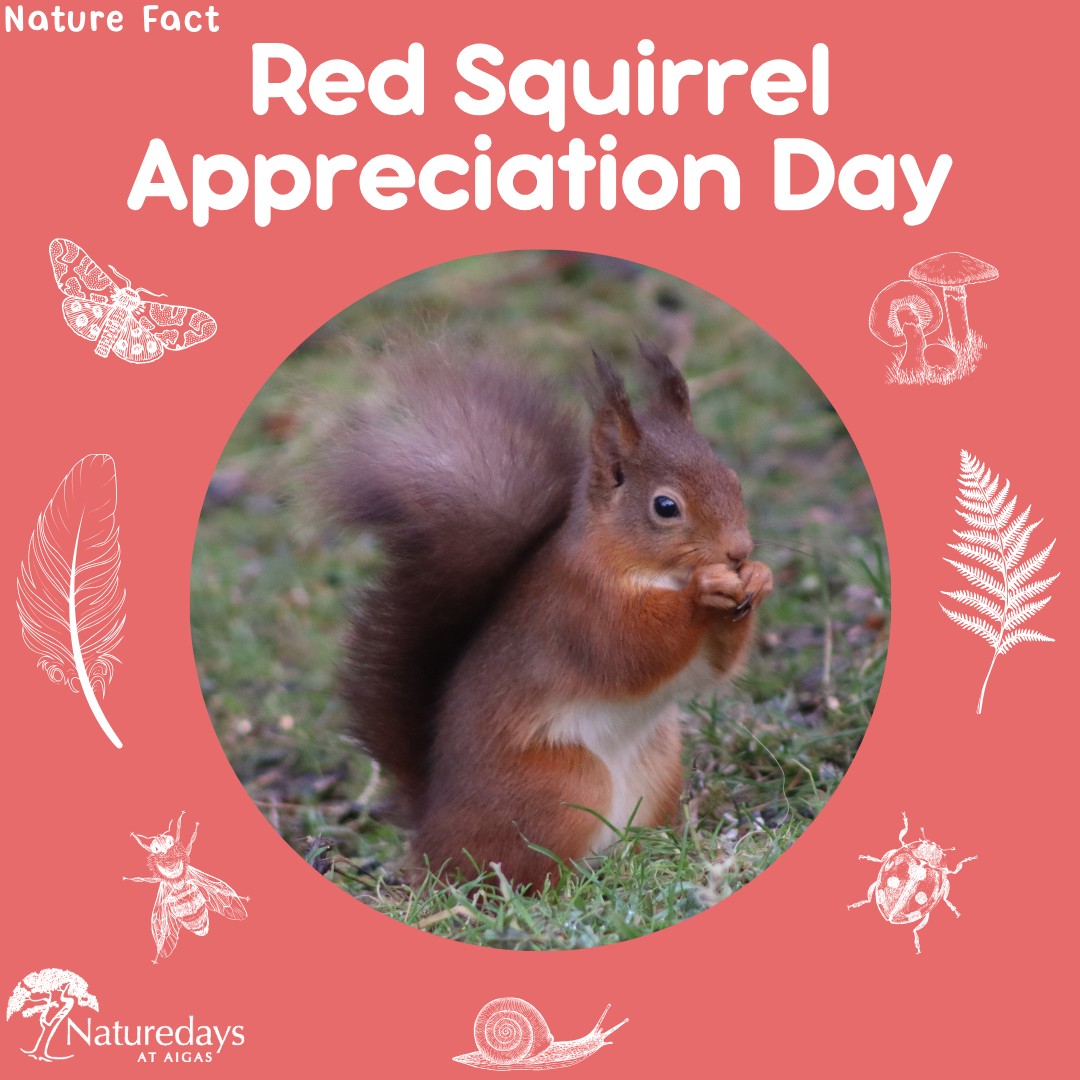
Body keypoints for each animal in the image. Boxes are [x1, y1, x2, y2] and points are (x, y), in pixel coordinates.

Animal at [319, 340, 773, 888]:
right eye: (666, 507)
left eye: (733, 480)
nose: (738, 551)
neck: (648, 569)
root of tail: (430, 835)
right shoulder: (583, 608)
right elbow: (635, 650)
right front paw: (705, 590)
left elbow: (710, 667)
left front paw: (758, 578)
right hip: (562, 786)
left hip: (659, 763)